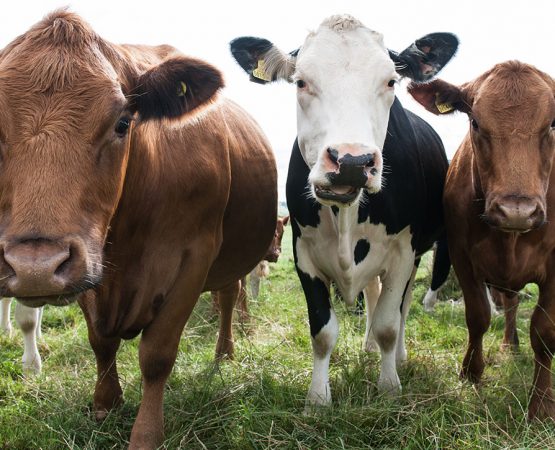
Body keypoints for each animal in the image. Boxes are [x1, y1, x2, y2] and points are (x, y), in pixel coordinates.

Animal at [0, 11, 278, 450]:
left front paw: (146, 433)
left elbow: (157, 354)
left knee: (229, 296)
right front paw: (105, 403)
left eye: (122, 123)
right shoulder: (91, 264)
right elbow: (100, 341)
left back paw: (224, 354)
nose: (35, 267)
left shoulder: (195, 256)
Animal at [229, 15, 456, 406]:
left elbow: (388, 324)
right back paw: (367, 347)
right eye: (301, 81)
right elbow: (322, 332)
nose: (352, 161)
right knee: (373, 295)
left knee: (401, 307)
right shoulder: (303, 252)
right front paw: (318, 399)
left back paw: (397, 356)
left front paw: (389, 387)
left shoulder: (403, 251)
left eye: (390, 81)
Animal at [408, 60, 555, 422]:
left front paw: (541, 405)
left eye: (552, 124)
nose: (517, 211)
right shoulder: (460, 255)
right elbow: (478, 316)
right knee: (510, 302)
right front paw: (471, 373)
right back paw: (509, 345)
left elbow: (544, 331)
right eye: (475, 121)